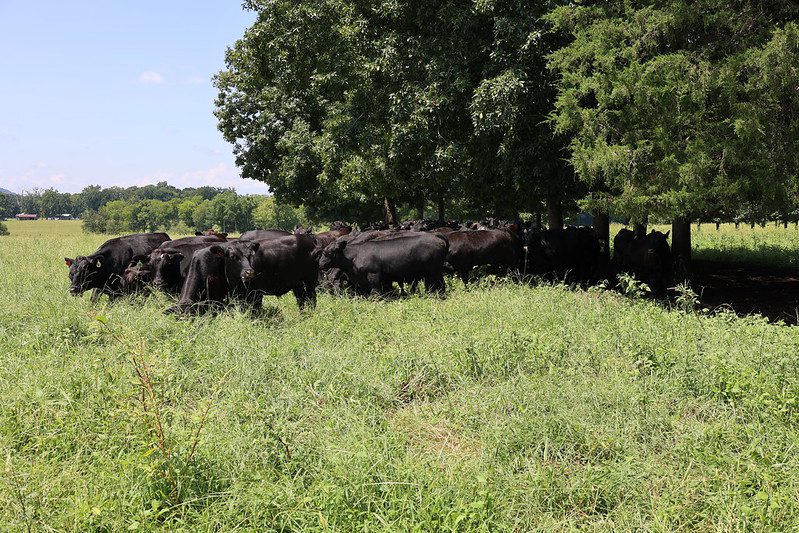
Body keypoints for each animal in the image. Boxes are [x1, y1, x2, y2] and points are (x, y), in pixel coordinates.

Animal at [318, 232, 448, 297]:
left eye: (327, 252)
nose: (320, 263)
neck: (355, 256)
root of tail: (435, 235)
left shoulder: (373, 275)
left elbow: (376, 291)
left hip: (433, 271)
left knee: (435, 285)